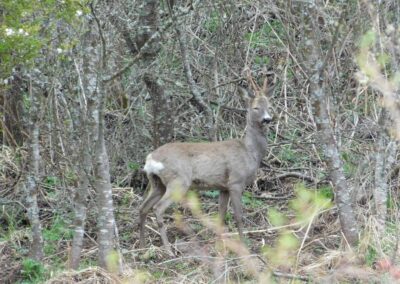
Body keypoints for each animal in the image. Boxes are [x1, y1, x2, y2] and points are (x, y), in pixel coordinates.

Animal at [139, 77, 274, 251]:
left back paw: (142, 246)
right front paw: (244, 246)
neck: (250, 152)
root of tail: (151, 159)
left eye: (269, 106)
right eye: (256, 107)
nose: (267, 119)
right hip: (179, 180)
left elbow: (221, 216)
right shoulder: (236, 181)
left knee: (143, 207)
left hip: (157, 183)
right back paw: (168, 250)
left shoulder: (223, 187)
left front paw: (218, 246)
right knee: (158, 208)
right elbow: (238, 216)